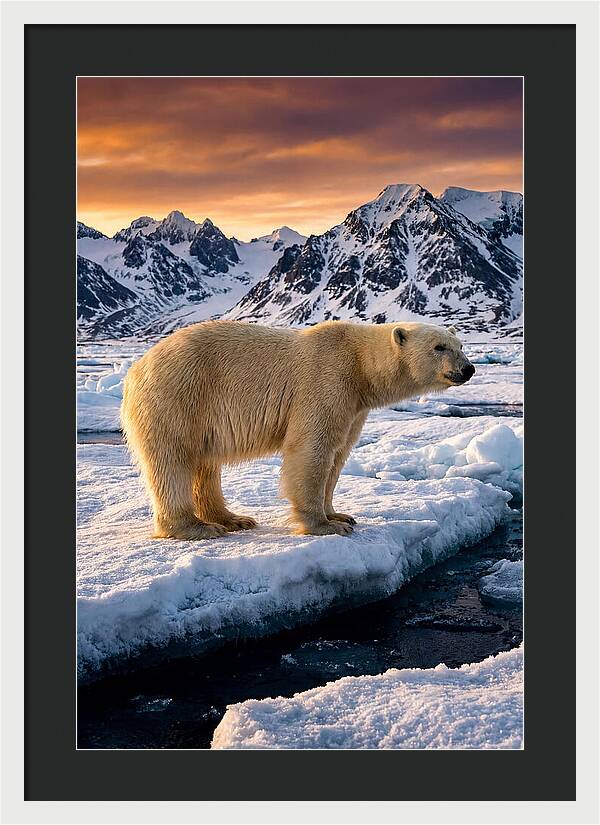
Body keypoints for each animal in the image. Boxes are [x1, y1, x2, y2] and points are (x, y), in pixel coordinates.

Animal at [121, 320, 475, 540]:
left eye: (460, 344)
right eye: (439, 347)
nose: (468, 368)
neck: (360, 365)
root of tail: (137, 368)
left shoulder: (353, 406)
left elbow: (337, 455)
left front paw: (339, 515)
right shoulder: (326, 381)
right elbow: (311, 450)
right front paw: (325, 526)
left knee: (205, 464)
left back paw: (233, 519)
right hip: (179, 395)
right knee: (173, 460)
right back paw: (196, 527)